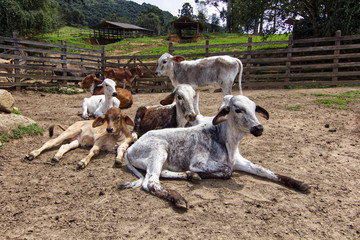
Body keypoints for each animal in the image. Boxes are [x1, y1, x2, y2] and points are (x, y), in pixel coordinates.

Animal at [119, 94, 310, 209]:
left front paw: (299, 183)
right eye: (238, 110)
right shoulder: (199, 162)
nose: (259, 128)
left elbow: (264, 170)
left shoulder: (239, 161)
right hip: (159, 151)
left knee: (162, 174)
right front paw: (203, 175)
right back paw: (179, 198)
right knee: (151, 183)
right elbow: (227, 171)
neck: (226, 141)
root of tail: (131, 148)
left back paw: (190, 176)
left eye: (255, 109)